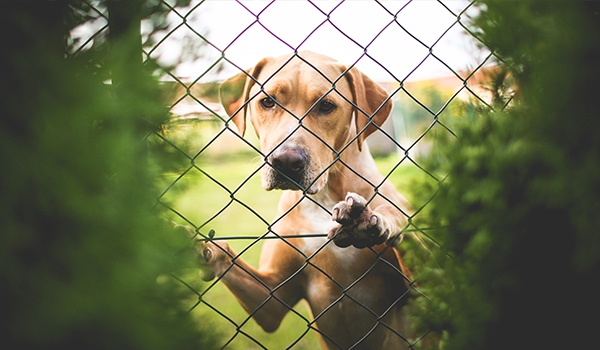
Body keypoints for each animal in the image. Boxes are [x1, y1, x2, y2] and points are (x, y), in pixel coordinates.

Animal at [197, 52, 412, 350]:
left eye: (326, 105)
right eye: (267, 101)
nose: (286, 162)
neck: (323, 197)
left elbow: (398, 217)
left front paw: (376, 219)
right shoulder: (271, 299)